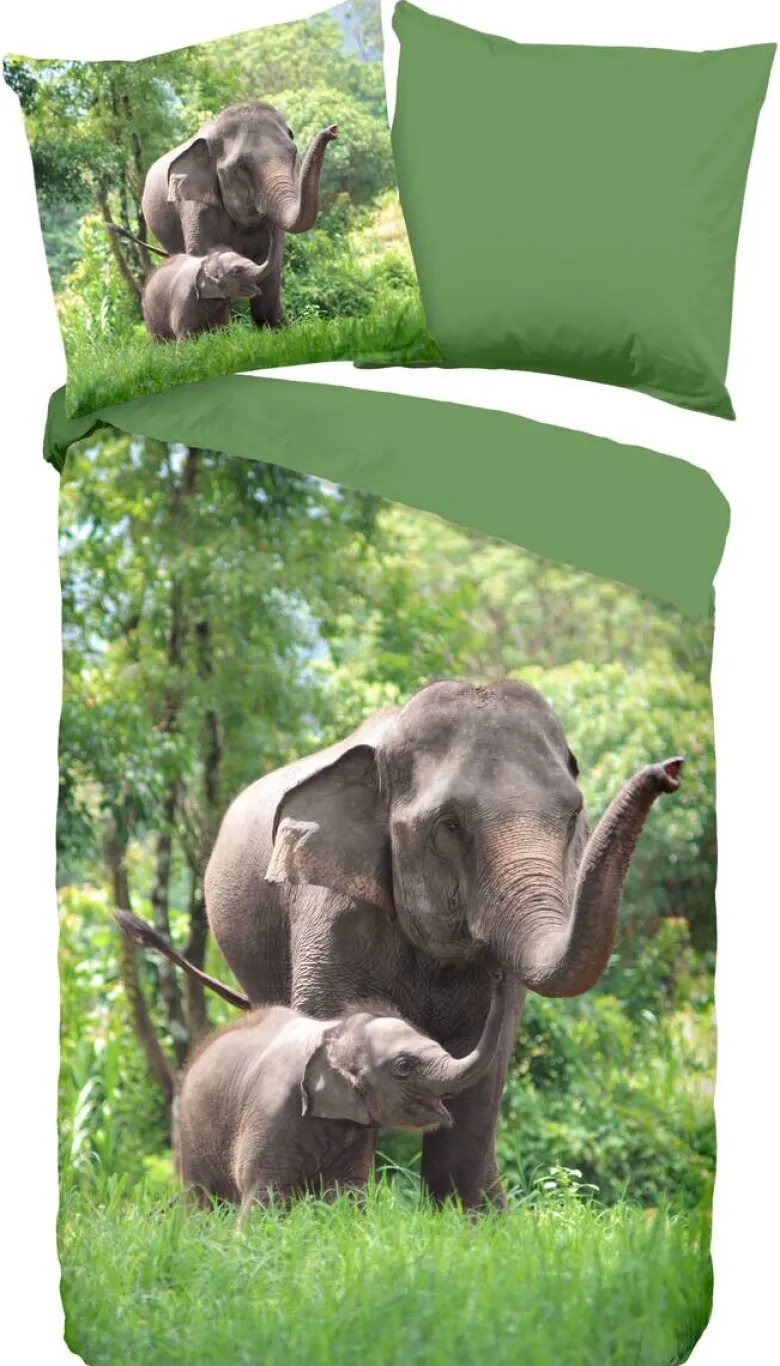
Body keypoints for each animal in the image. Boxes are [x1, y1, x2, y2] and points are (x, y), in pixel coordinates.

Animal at [141, 246, 272, 341]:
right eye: (237, 271)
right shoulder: (183, 299)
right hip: (149, 311)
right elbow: (185, 336)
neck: (209, 260)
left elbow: (222, 331)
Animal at [142, 103, 338, 328]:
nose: (332, 130)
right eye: (241, 167)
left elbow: (271, 268)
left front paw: (278, 329)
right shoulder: (195, 206)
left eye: (293, 153)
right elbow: (203, 253)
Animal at [159, 678, 683, 1210]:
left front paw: (477, 1219)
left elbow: (486, 1068)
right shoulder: (330, 912)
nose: (672, 770)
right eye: (449, 824)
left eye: (573, 813)